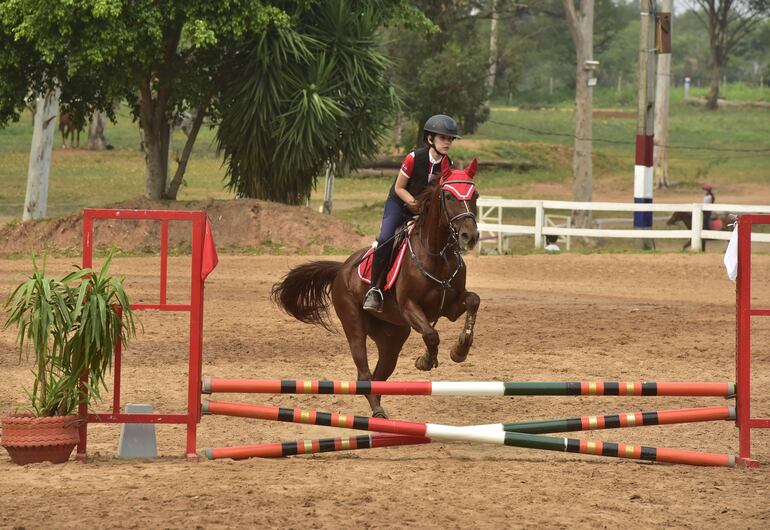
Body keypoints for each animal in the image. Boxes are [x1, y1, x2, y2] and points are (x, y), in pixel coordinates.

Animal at [268, 157, 474, 416]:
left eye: (475, 194)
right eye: (448, 196)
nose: (470, 236)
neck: (438, 254)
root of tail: (342, 269)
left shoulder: (451, 307)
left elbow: (472, 303)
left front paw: (460, 350)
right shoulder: (410, 307)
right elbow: (431, 334)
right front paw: (426, 360)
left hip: (392, 336)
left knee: (379, 376)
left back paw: (379, 410)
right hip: (354, 325)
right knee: (364, 375)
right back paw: (378, 412)